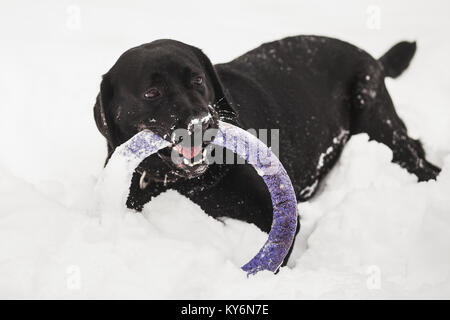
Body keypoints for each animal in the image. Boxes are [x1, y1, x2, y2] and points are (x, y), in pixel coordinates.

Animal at [93, 36, 442, 262]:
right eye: (152, 92)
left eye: (197, 80)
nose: (202, 122)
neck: (186, 184)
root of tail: (369, 56)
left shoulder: (280, 215)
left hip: (376, 120)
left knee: (419, 160)